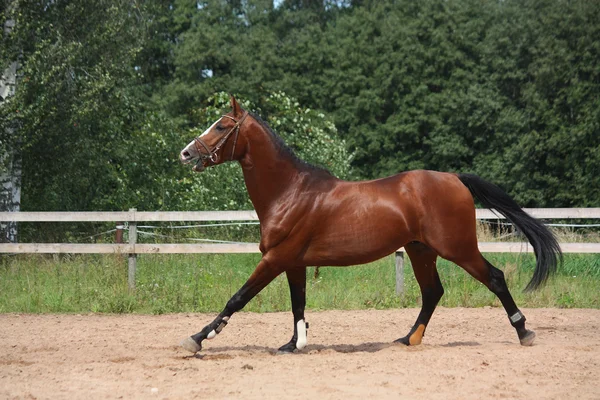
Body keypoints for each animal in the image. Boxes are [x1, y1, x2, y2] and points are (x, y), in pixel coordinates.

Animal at [178, 96, 564, 354]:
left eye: (222, 126)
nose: (186, 153)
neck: (289, 191)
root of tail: (454, 178)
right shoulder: (292, 262)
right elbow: (297, 303)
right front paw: (294, 343)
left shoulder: (275, 259)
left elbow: (237, 298)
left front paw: (197, 338)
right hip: (420, 250)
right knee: (432, 292)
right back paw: (408, 339)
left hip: (458, 248)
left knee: (494, 278)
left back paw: (524, 332)